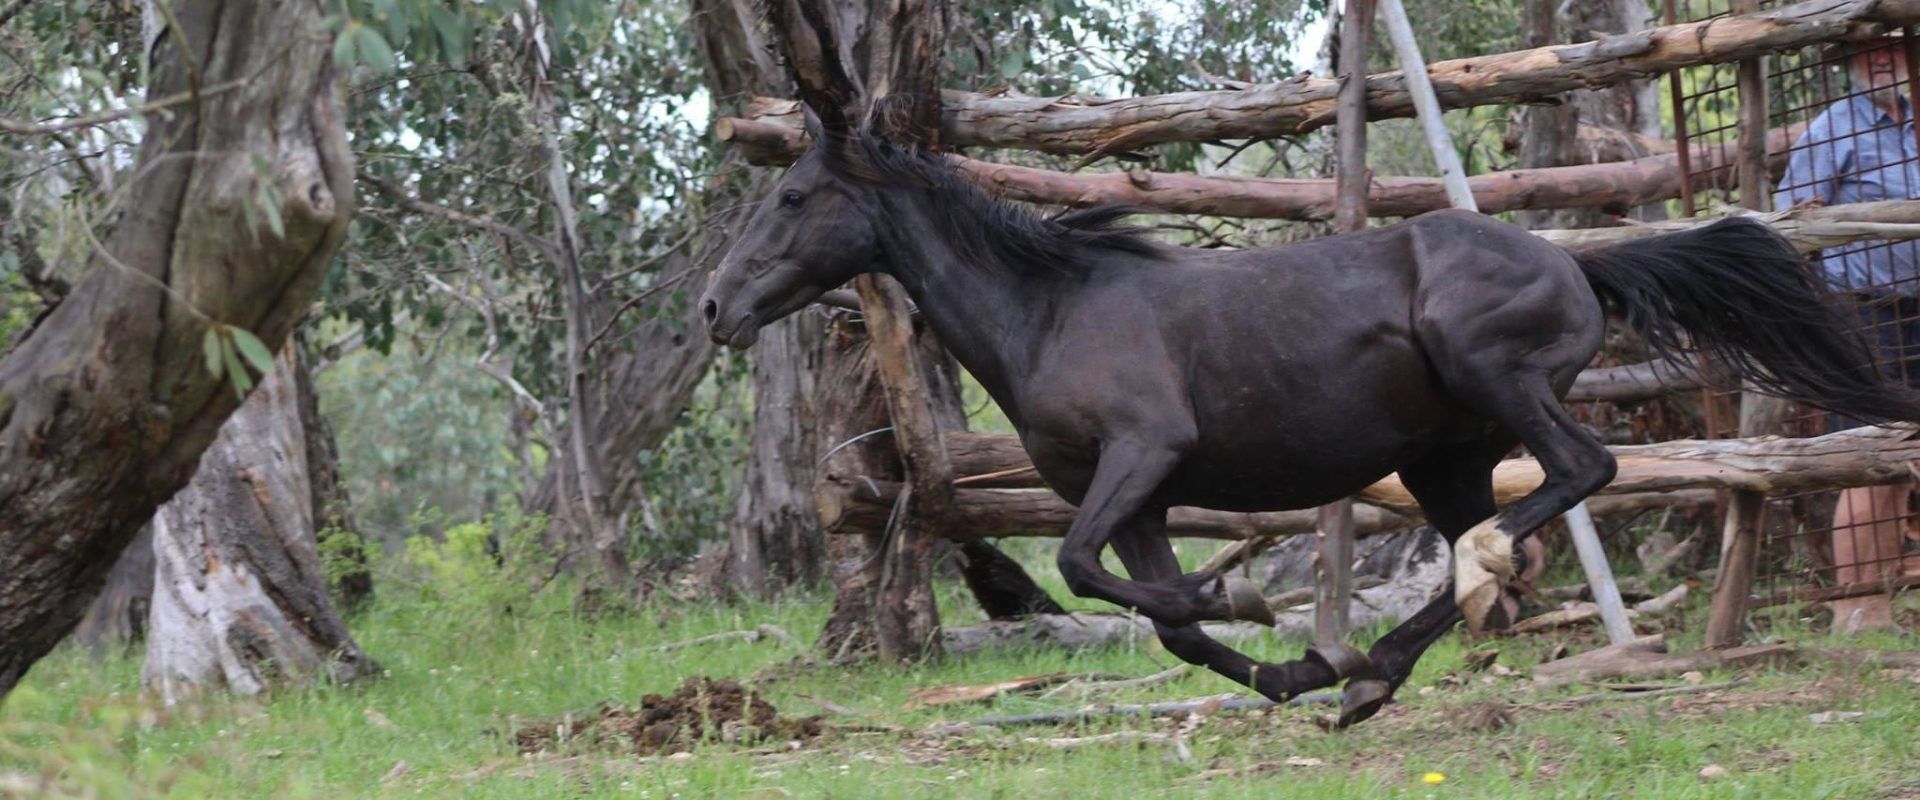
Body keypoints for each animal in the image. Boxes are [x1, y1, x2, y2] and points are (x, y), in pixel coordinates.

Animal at [699, 107, 1920, 727]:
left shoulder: (1146, 451)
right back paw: (1372, 670)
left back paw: (1427, 608)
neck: (1050, 308)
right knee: (1502, 552)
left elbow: (1093, 571)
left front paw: (1240, 592)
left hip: (1496, 385)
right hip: (1443, 457)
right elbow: (1159, 618)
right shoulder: (1135, 492)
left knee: (1581, 473)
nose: (716, 306)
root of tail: (1579, 262)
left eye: (794, 197)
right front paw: (1293, 666)